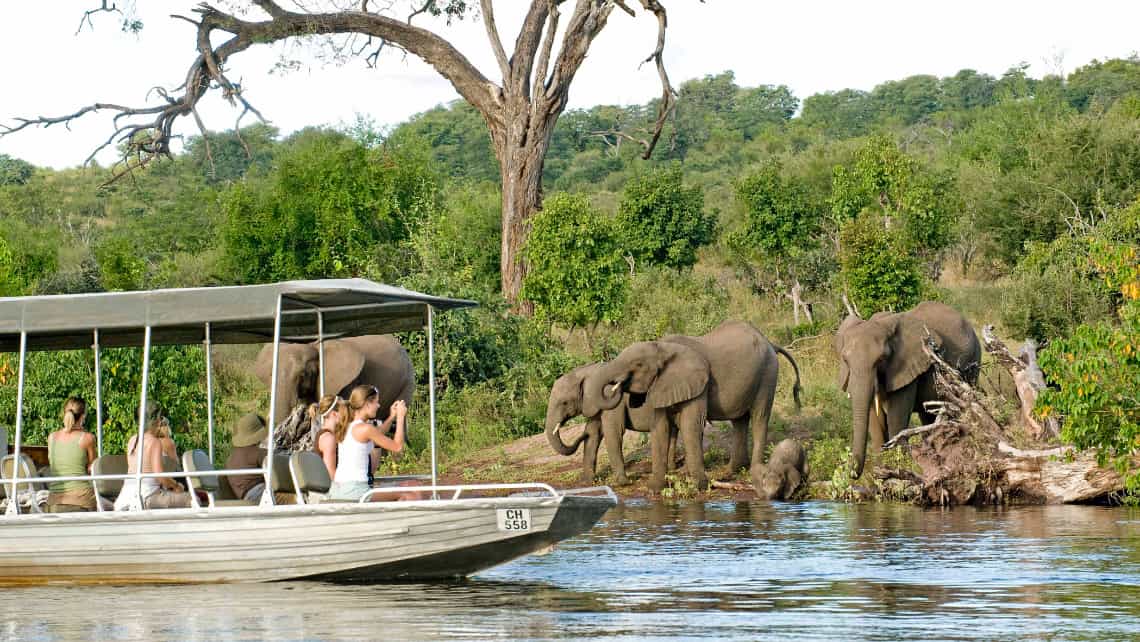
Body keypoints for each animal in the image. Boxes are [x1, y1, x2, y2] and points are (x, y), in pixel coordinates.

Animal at [588, 319, 802, 492]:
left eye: (638, 365)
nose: (618, 386)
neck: (662, 347)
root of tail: (770, 342)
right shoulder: (664, 384)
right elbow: (660, 429)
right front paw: (654, 489)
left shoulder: (699, 384)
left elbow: (690, 425)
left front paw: (698, 486)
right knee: (739, 421)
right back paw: (730, 471)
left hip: (768, 373)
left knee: (759, 417)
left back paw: (753, 473)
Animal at [834, 301, 984, 476]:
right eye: (845, 360)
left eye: (881, 359)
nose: (852, 473)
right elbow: (874, 421)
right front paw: (881, 474)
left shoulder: (906, 366)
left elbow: (896, 420)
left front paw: (898, 472)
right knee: (929, 417)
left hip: (973, 362)